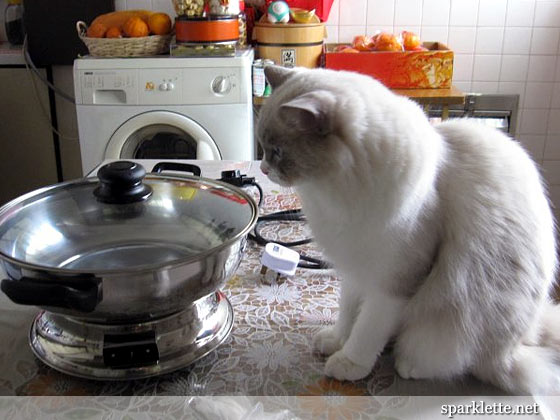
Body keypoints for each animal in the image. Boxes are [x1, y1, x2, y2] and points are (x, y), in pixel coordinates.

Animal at [258, 65, 560, 394]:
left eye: (276, 151)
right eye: (263, 148)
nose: (262, 168)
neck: (335, 192)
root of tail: (513, 349)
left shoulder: (393, 282)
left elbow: (367, 329)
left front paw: (348, 362)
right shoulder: (355, 269)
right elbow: (348, 315)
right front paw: (335, 341)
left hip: (444, 322)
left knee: (451, 359)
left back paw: (408, 364)